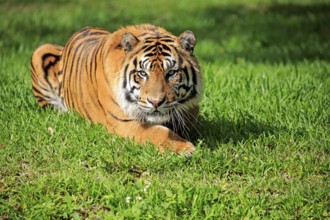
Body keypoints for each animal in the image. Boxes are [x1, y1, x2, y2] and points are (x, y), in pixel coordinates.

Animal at [31, 24, 202, 155]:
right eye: (142, 73)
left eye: (171, 73)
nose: (155, 102)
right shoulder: (124, 122)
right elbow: (159, 131)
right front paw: (185, 148)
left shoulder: (190, 109)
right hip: (39, 51)